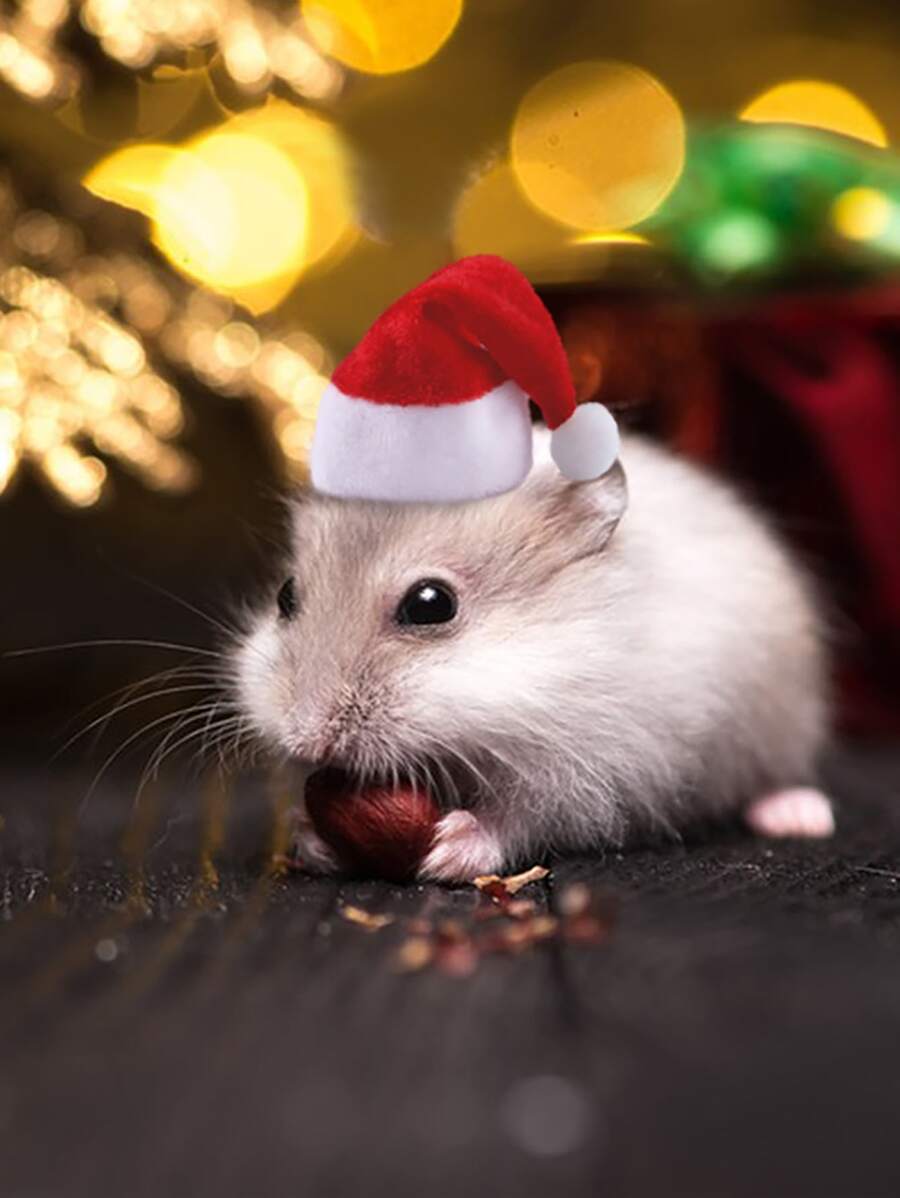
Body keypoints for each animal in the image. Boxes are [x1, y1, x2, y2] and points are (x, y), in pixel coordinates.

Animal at [234, 428, 833, 882]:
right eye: (286, 595)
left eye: (431, 603)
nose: (305, 740)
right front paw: (312, 839)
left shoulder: (594, 771)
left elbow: (520, 817)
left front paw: (447, 851)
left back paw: (800, 817)